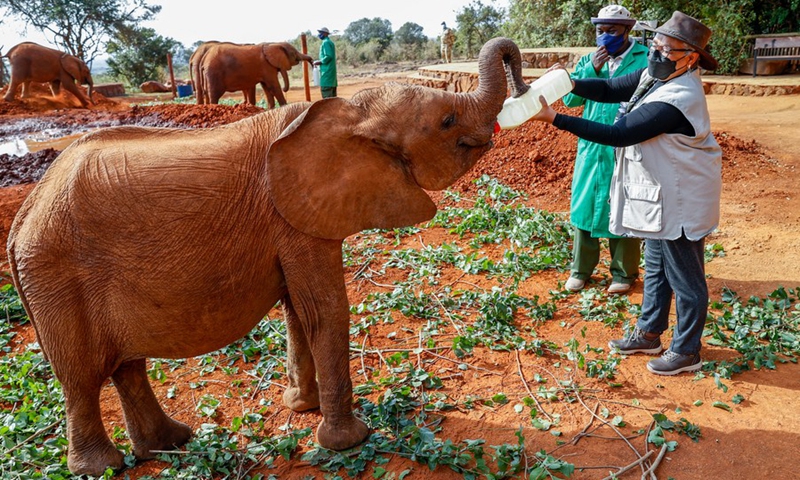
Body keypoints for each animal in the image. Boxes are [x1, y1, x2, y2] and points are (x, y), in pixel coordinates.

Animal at [7, 37, 529, 476]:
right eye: (447, 122)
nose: (523, 81)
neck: (349, 112)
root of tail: (22, 217)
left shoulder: (294, 221)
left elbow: (299, 311)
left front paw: (301, 407)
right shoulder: (293, 218)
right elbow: (324, 311)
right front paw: (349, 441)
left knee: (124, 367)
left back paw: (170, 444)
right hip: (57, 276)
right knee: (81, 378)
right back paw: (103, 467)